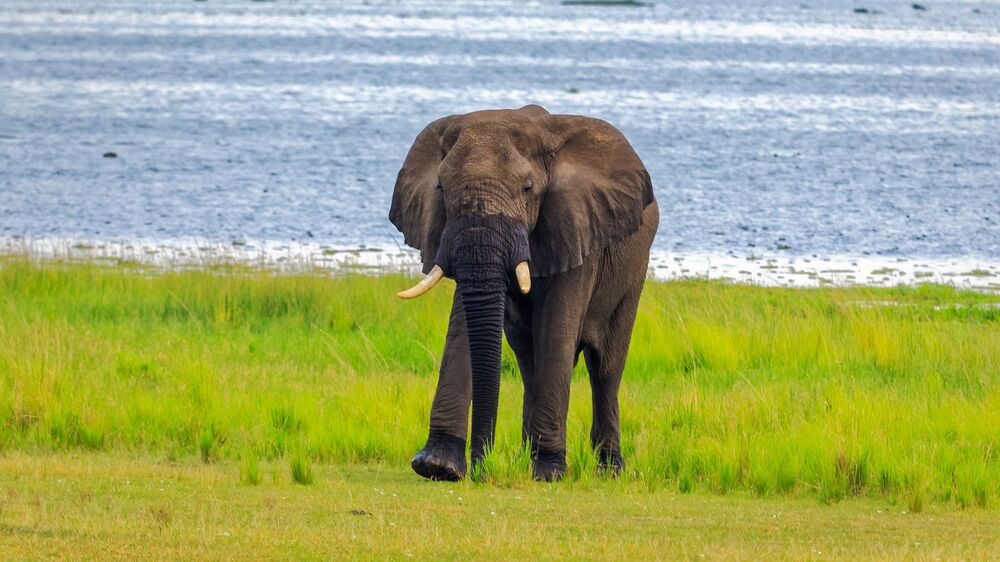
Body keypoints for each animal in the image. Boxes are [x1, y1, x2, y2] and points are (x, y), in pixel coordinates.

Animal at [390, 104, 658, 481]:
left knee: (605, 367)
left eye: (528, 188)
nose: (481, 468)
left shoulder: (577, 223)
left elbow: (557, 329)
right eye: (440, 187)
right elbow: (464, 323)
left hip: (632, 275)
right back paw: (526, 457)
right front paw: (437, 465)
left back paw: (608, 471)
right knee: (529, 361)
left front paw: (549, 473)